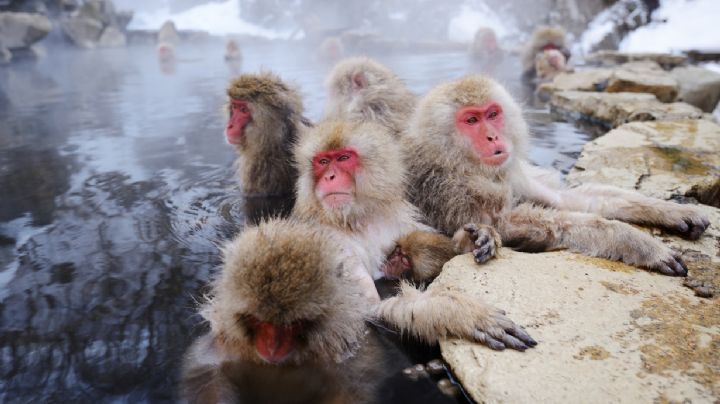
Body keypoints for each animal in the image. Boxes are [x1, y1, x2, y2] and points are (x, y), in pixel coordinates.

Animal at [180, 218, 384, 403]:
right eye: (257, 320)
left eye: (293, 324)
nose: (272, 347)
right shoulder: (224, 347)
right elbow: (205, 373)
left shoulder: (344, 358)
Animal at [291, 119, 536, 351]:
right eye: (323, 162)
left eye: (343, 158)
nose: (330, 177)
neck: (357, 219)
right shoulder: (331, 241)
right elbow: (366, 310)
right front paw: (453, 312)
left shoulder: (401, 219)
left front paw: (476, 237)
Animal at [402, 75, 711, 277]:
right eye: (471, 120)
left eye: (491, 114)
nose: (492, 137)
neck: (458, 162)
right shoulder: (448, 189)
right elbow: (512, 225)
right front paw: (638, 243)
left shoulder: (512, 172)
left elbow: (565, 198)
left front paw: (673, 211)